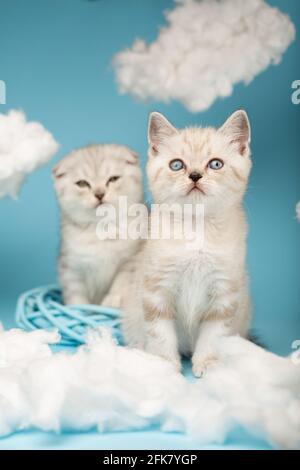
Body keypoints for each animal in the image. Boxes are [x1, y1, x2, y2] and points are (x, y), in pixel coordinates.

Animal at [53, 143, 144, 308]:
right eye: (82, 183)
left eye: (113, 179)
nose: (99, 194)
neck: (101, 228)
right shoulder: (70, 268)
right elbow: (75, 294)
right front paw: (79, 308)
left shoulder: (131, 261)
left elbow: (120, 282)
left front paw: (112, 300)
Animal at [122, 111, 253, 378]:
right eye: (176, 165)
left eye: (215, 164)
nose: (194, 175)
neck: (196, 228)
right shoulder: (157, 289)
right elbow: (160, 333)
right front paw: (164, 364)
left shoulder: (224, 293)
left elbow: (214, 335)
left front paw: (208, 363)